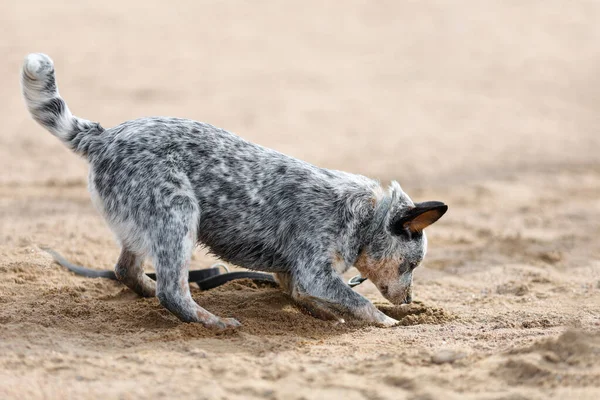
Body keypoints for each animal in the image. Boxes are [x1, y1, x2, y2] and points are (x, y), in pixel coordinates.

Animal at [21, 52, 448, 328]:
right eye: (411, 265)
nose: (410, 299)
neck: (364, 215)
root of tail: (104, 136)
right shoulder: (314, 272)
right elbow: (357, 299)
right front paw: (386, 320)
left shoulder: (295, 275)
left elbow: (306, 298)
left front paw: (330, 315)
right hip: (178, 214)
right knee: (172, 291)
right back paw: (210, 320)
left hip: (144, 224)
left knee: (126, 270)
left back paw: (147, 289)